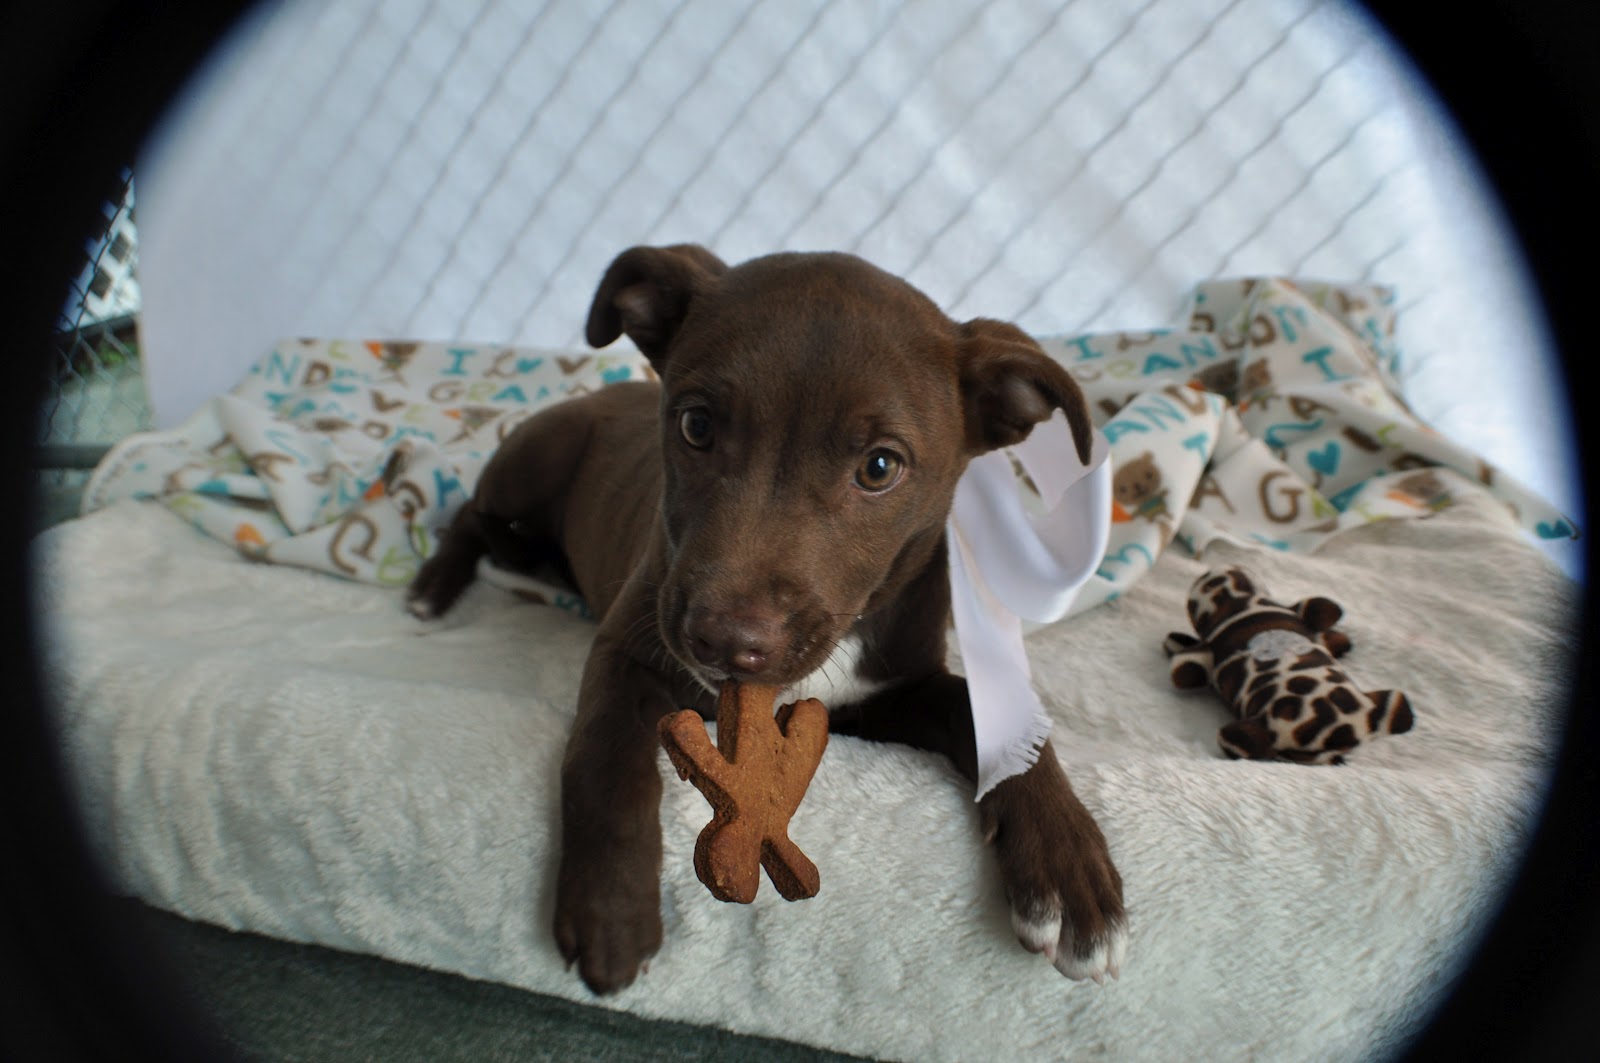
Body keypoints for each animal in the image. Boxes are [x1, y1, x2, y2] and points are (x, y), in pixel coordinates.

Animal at [407, 245, 1126, 993]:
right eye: (696, 426)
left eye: (880, 467)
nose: (723, 643)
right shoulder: (627, 647)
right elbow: (603, 758)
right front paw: (609, 906)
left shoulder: (880, 695)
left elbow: (989, 716)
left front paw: (1067, 870)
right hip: (532, 460)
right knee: (470, 513)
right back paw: (435, 587)